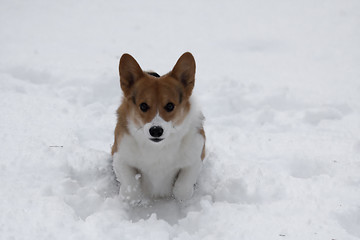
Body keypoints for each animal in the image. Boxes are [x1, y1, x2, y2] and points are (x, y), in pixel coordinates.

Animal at [111, 52, 205, 202]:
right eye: (143, 106)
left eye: (170, 106)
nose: (156, 131)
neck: (158, 148)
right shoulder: (119, 155)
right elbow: (130, 189)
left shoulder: (196, 157)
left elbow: (182, 189)